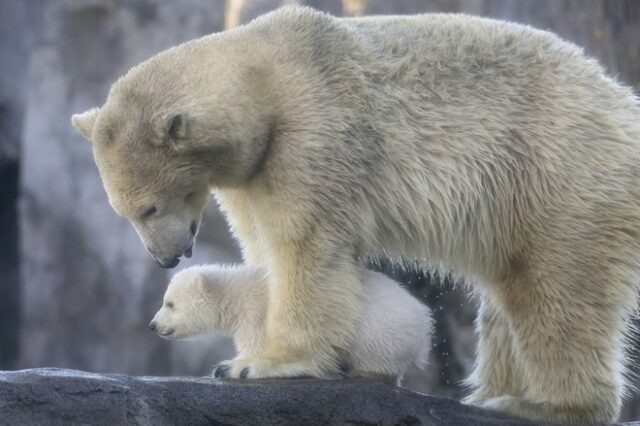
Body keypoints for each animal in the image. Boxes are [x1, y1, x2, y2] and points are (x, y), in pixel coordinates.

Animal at [71, 5, 640, 424]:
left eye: (149, 206)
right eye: (122, 211)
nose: (166, 259)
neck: (268, 75)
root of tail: (622, 102)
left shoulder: (315, 134)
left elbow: (305, 244)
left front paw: (262, 364)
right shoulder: (252, 172)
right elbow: (263, 244)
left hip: (558, 171)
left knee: (558, 290)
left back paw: (541, 403)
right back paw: (487, 393)